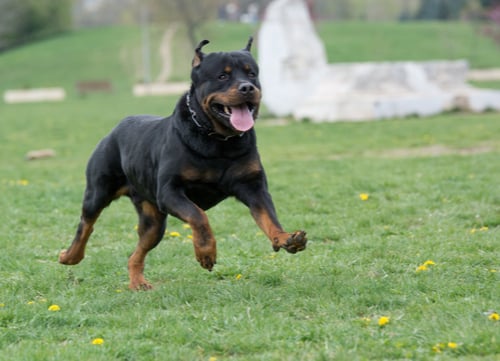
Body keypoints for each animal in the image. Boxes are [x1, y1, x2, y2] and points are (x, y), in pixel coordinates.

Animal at [60, 38, 306, 288]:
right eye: (222, 76)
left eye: (252, 74)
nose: (247, 87)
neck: (218, 140)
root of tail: (115, 129)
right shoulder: (170, 191)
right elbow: (198, 215)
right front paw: (206, 252)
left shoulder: (253, 186)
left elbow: (268, 216)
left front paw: (286, 238)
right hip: (98, 191)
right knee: (86, 224)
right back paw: (70, 256)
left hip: (154, 222)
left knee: (137, 251)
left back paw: (138, 282)